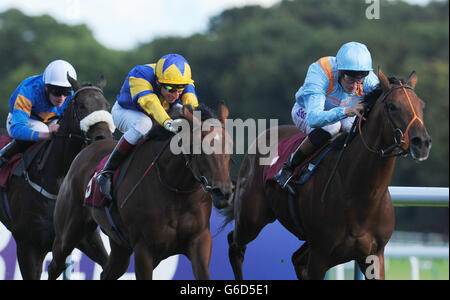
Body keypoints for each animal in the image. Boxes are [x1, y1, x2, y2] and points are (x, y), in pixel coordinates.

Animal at [48, 102, 234, 278]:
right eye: (200, 147)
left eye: (230, 146)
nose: (223, 192)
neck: (175, 190)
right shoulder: (144, 249)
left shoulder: (199, 240)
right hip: (67, 233)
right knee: (55, 265)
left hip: (119, 246)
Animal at [223, 69, 430, 280]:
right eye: (393, 106)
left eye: (421, 105)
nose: (421, 142)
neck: (360, 195)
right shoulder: (320, 255)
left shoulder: (374, 255)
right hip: (251, 218)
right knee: (235, 245)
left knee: (296, 259)